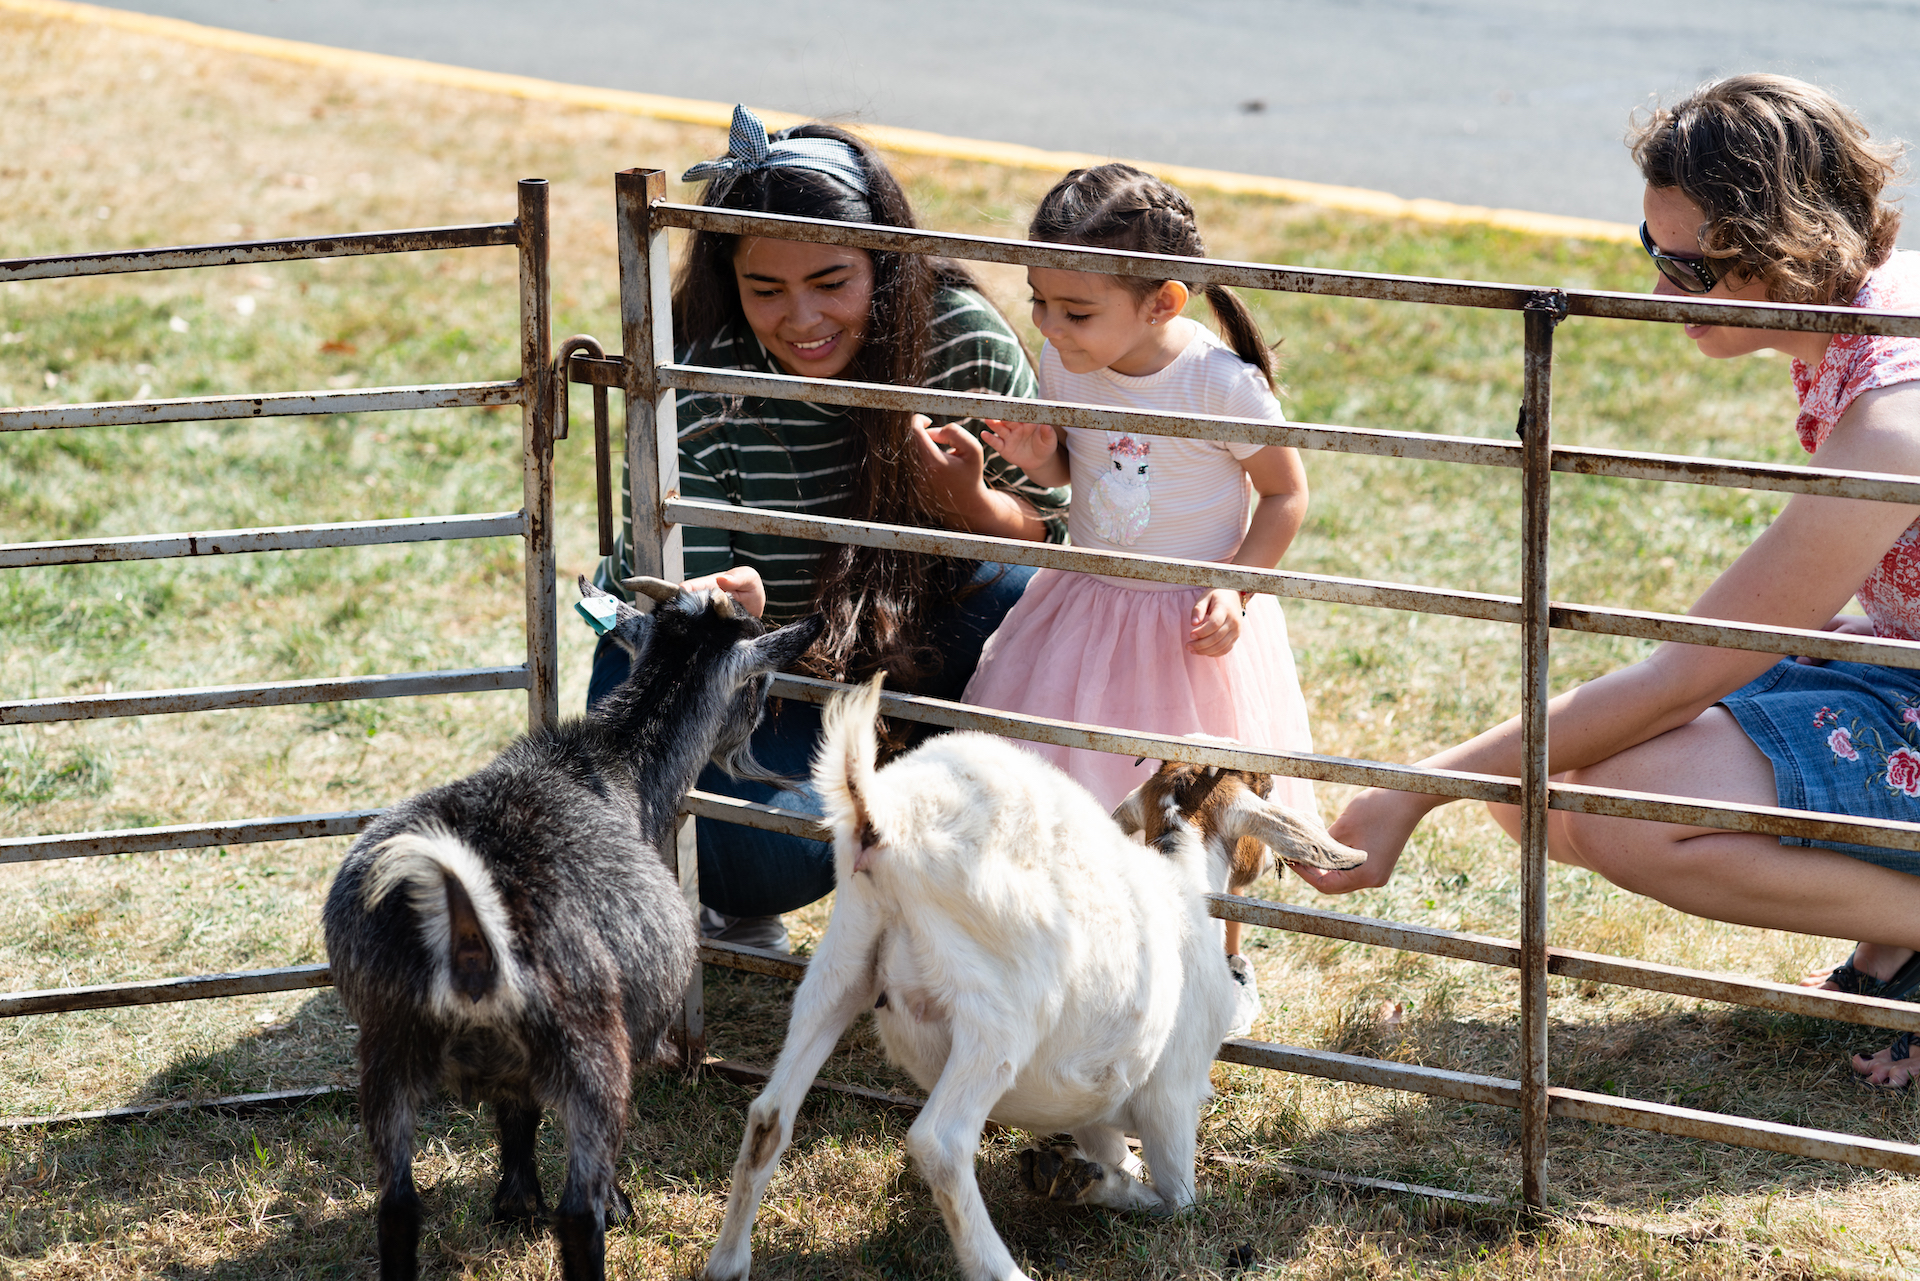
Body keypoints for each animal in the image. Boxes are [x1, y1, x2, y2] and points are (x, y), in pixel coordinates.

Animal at [324, 576, 817, 1275]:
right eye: (761, 684)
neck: (613, 763)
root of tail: (468, 922)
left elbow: (515, 1113)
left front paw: (512, 1203)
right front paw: (607, 1204)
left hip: (386, 1041)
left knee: (395, 1208)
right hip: (592, 1049)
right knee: (577, 1212)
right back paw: (605, 1216)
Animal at [710, 679, 1367, 1281]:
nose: (1241, 970)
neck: (1179, 868)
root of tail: (883, 822)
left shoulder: (1094, 1097)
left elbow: (1111, 1153)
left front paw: (1076, 1175)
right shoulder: (1172, 1094)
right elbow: (1177, 1201)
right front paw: (1090, 1184)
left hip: (840, 964)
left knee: (769, 1114)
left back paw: (728, 1263)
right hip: (997, 1010)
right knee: (940, 1143)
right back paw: (999, 1268)